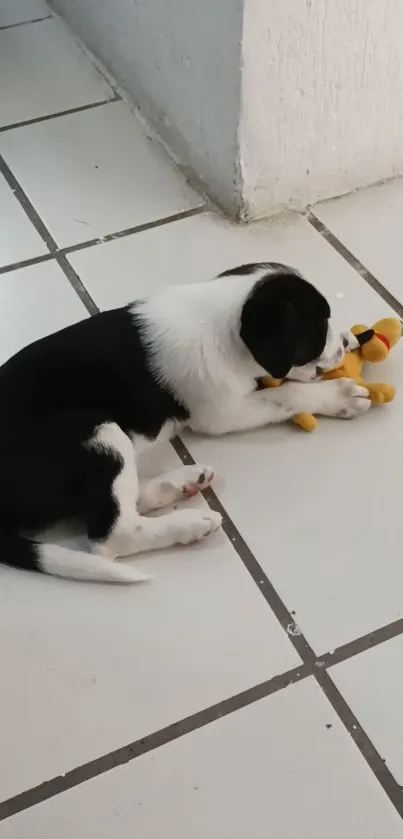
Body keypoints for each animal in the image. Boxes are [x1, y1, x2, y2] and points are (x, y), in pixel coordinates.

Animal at [0, 262, 370, 584]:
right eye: (318, 329)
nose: (347, 342)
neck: (224, 323)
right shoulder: (223, 411)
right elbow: (288, 393)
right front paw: (341, 396)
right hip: (95, 429)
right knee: (112, 534)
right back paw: (190, 523)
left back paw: (180, 483)